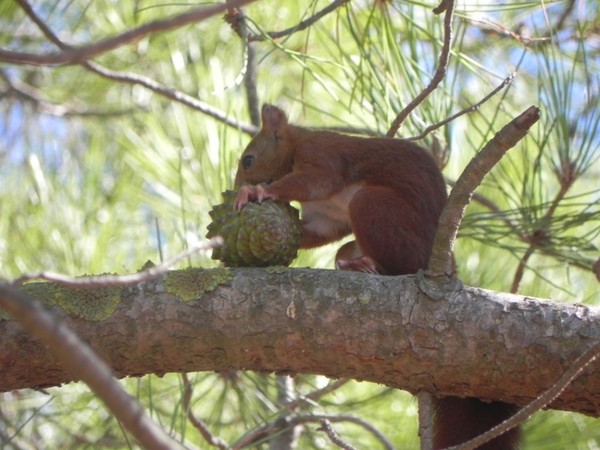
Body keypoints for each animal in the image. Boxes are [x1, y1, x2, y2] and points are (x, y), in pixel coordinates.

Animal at [234, 103, 520, 448]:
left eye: (248, 159)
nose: (234, 187)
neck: (297, 143)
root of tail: (444, 263)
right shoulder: (323, 217)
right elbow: (314, 230)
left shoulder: (323, 155)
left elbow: (316, 181)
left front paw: (256, 192)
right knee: (345, 251)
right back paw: (350, 264)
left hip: (376, 209)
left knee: (395, 262)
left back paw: (367, 266)